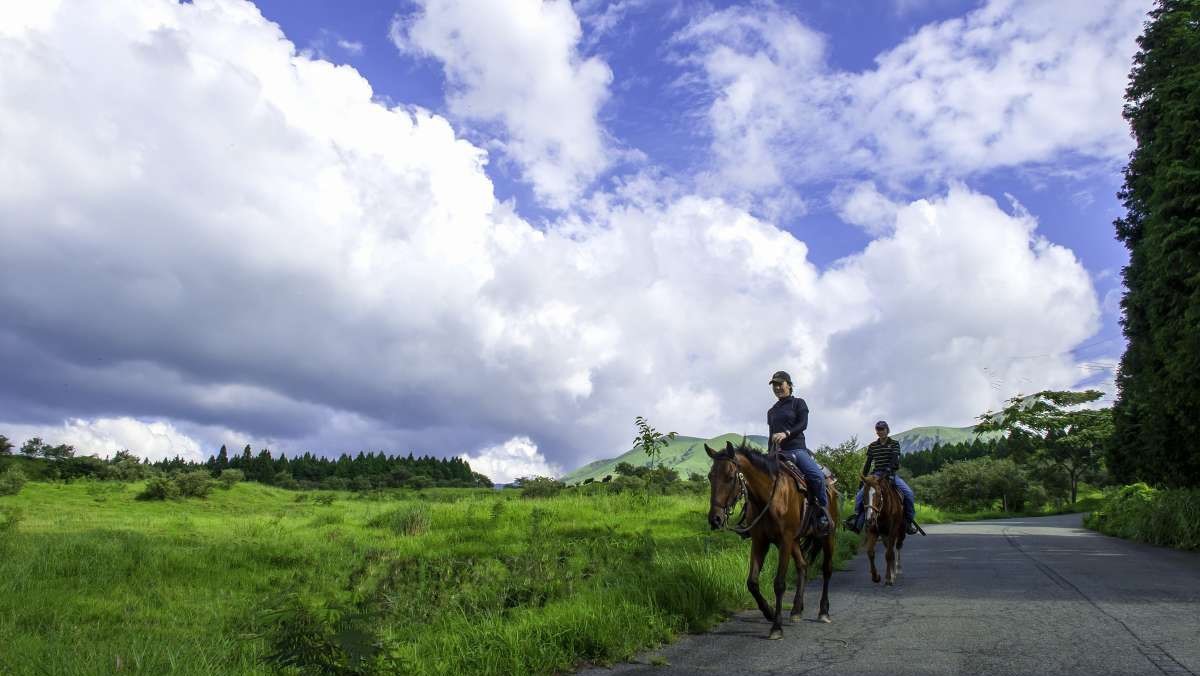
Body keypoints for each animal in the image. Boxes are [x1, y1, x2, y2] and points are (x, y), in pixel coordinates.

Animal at [700, 439, 835, 638]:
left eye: (730, 477)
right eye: (710, 476)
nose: (715, 519)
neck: (770, 496)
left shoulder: (785, 540)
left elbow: (779, 584)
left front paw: (776, 627)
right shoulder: (760, 541)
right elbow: (752, 582)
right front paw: (769, 613)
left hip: (827, 536)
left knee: (826, 570)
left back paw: (823, 611)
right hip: (795, 542)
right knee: (802, 566)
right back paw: (796, 609)